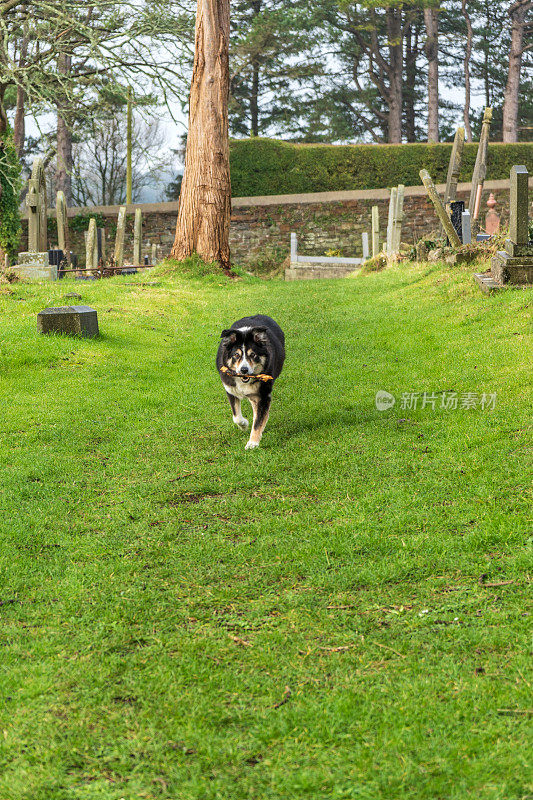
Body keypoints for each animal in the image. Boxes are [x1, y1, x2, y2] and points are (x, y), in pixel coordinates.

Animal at [216, 314, 284, 450]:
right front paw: (244, 425)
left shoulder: (263, 395)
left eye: (253, 355)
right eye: (236, 355)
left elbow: (258, 421)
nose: (244, 370)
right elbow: (236, 417)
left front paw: (253, 443)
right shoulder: (230, 390)